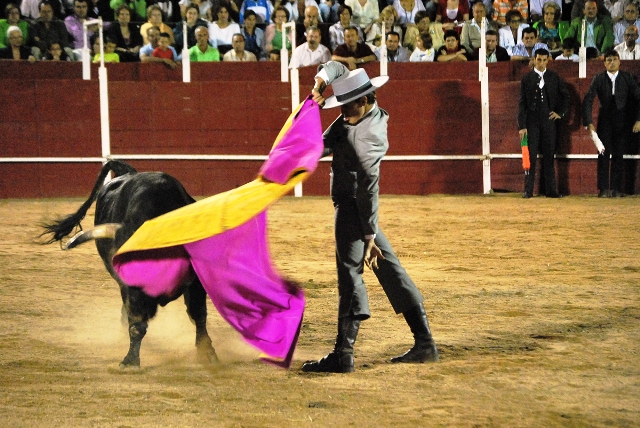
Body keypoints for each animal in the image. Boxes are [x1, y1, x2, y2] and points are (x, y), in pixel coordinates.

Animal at [42, 160, 219, 368]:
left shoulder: (195, 281)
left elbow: (198, 314)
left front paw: (207, 354)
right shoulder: (131, 290)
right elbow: (137, 324)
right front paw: (130, 360)